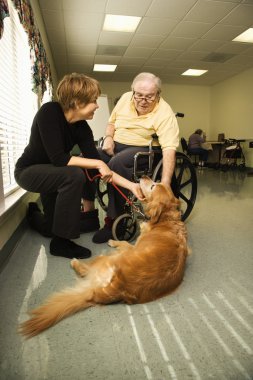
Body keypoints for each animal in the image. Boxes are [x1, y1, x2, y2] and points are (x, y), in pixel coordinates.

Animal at [19, 176, 189, 338]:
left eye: (153, 185)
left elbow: (124, 242)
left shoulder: (133, 247)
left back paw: (76, 262)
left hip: (108, 257)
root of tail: (118, 288)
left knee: (85, 270)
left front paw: (113, 240)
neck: (165, 219)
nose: (144, 176)